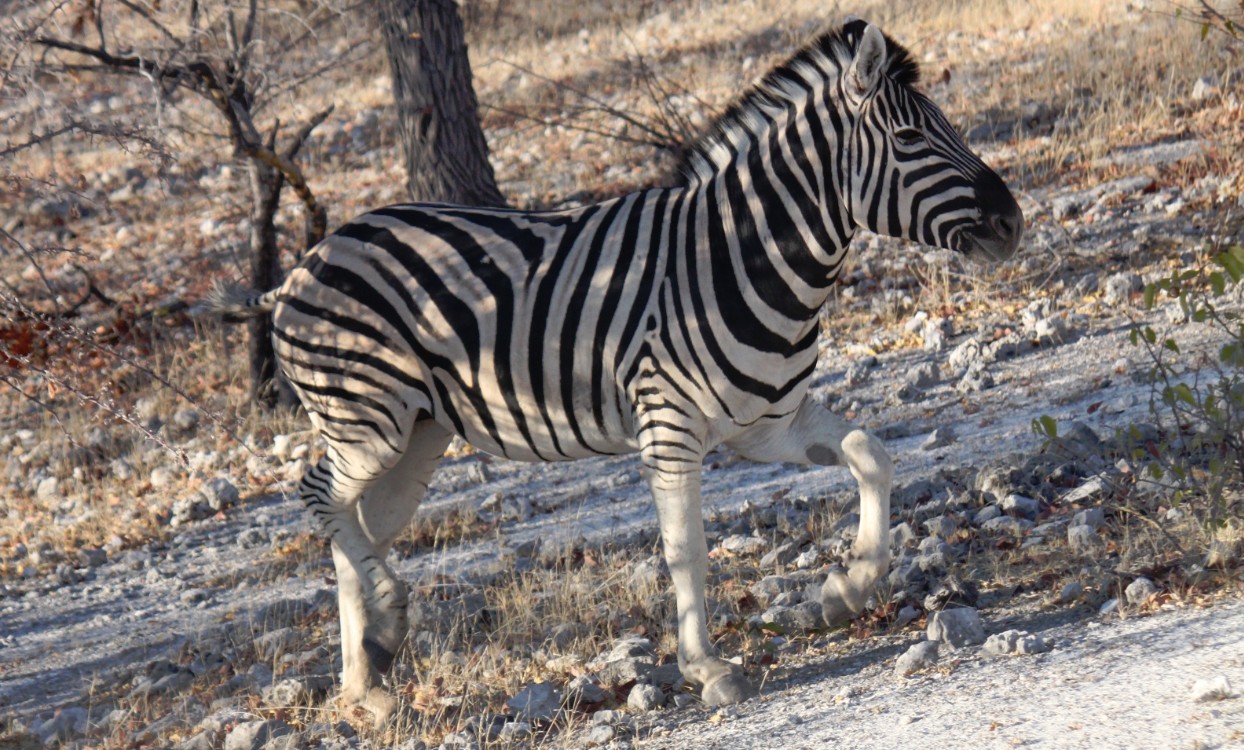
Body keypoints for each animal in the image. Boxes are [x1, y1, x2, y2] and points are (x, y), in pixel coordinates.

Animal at [211, 17, 1020, 721]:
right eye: (910, 137)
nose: (1013, 222)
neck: (739, 254)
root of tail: (304, 263)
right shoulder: (670, 427)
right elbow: (685, 549)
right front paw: (708, 667)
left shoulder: (768, 422)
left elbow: (871, 454)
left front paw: (846, 589)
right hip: (365, 421)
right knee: (317, 496)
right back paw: (386, 619)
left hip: (416, 438)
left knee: (354, 528)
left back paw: (369, 680)